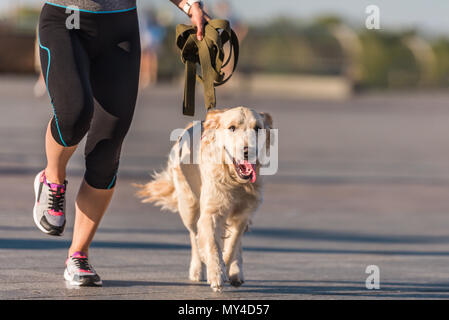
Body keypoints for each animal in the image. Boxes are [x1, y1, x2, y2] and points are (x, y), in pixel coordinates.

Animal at [135, 106, 272, 292]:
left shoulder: (243, 215)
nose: (247, 151)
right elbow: (212, 244)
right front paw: (216, 272)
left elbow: (232, 245)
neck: (235, 181)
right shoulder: (210, 213)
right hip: (189, 208)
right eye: (232, 128)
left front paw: (226, 267)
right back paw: (197, 269)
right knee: (194, 237)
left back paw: (236, 272)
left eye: (257, 128)